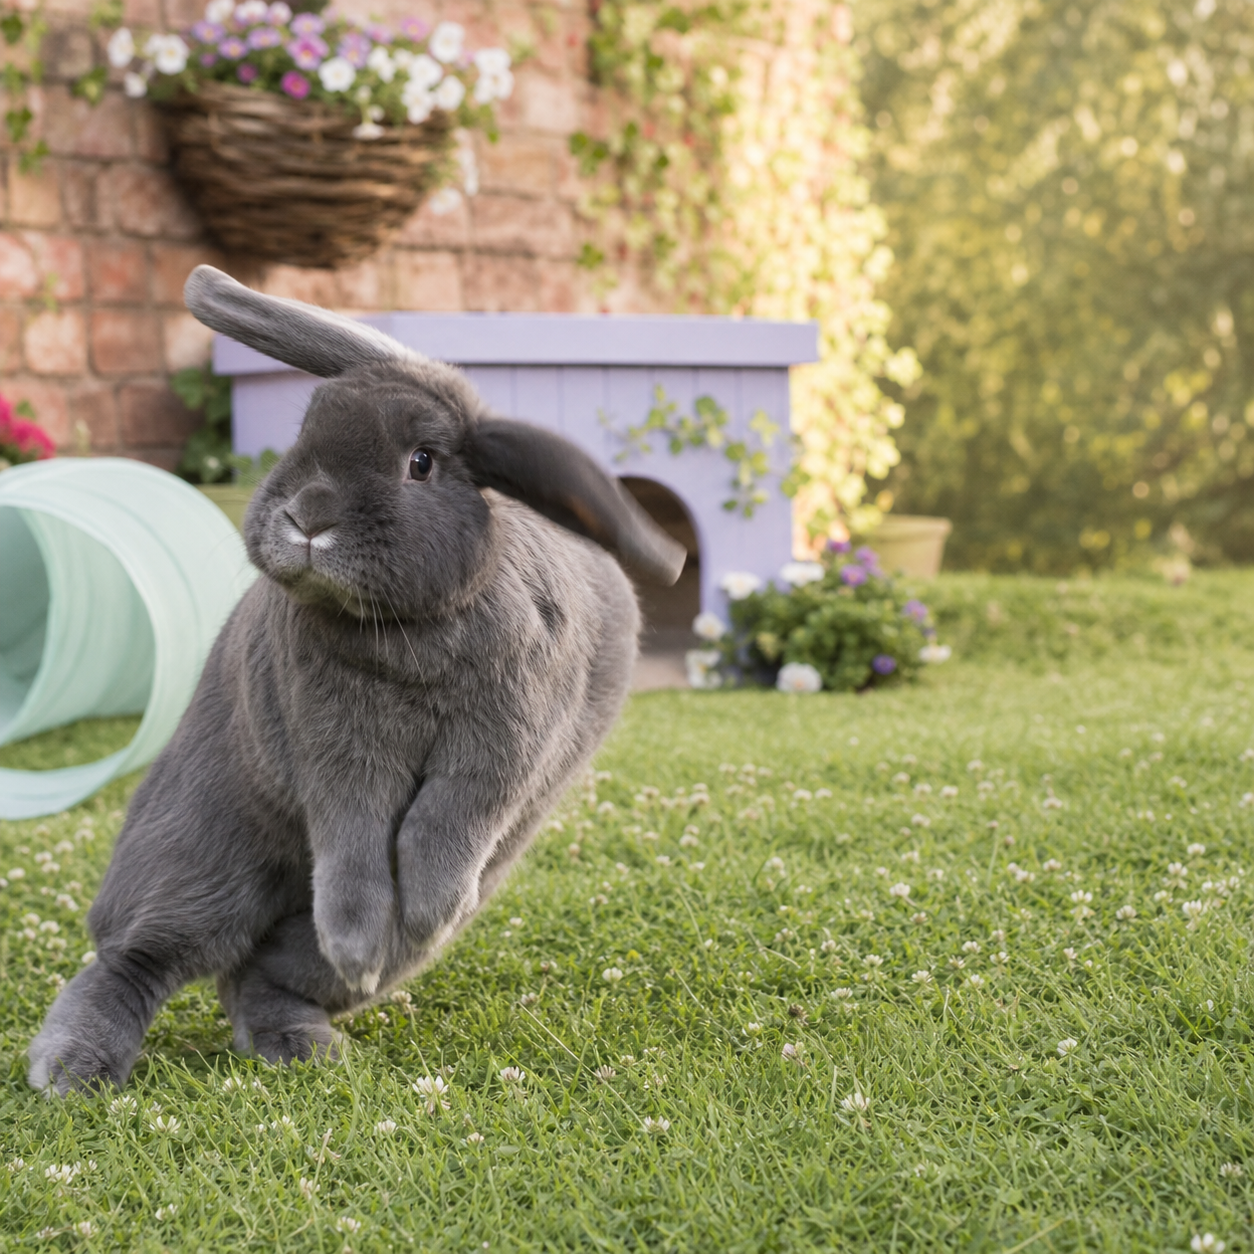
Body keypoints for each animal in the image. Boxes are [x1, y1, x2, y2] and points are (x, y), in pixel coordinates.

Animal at [27, 266, 685, 1094]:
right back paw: (71, 1069)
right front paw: (358, 939)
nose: (307, 516)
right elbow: (354, 837)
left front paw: (426, 910)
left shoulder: (502, 749)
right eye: (305, 431)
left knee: (257, 978)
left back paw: (307, 1040)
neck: (405, 631)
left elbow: (446, 820)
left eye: (423, 461)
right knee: (135, 958)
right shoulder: (339, 753)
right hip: (196, 853)